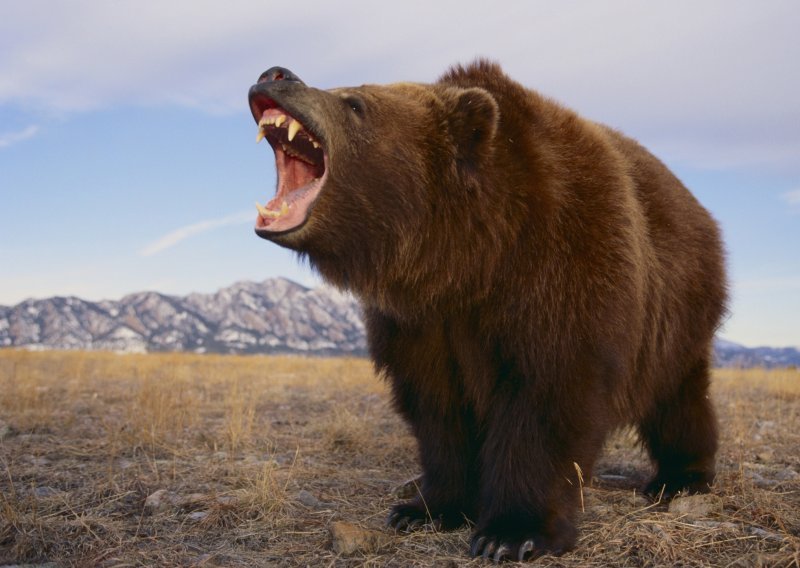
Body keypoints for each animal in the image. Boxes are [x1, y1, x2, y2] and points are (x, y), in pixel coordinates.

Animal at [247, 61, 728, 560]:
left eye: (355, 102)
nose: (277, 74)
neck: (470, 258)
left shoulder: (562, 270)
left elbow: (546, 399)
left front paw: (511, 533)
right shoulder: (421, 323)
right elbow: (438, 411)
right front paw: (427, 508)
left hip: (675, 311)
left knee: (677, 399)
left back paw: (681, 478)